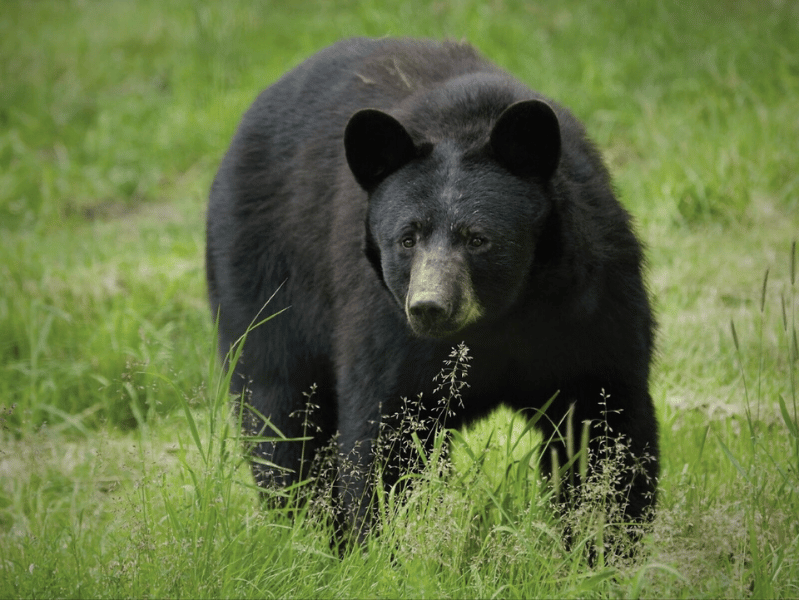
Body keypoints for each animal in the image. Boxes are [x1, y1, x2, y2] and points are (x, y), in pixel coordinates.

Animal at [206, 37, 659, 548]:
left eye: (478, 238)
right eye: (407, 238)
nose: (430, 307)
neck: (502, 318)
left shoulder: (591, 303)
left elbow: (604, 423)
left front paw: (602, 544)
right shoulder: (386, 326)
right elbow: (386, 435)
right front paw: (379, 545)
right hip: (264, 277)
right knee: (279, 410)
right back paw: (305, 527)